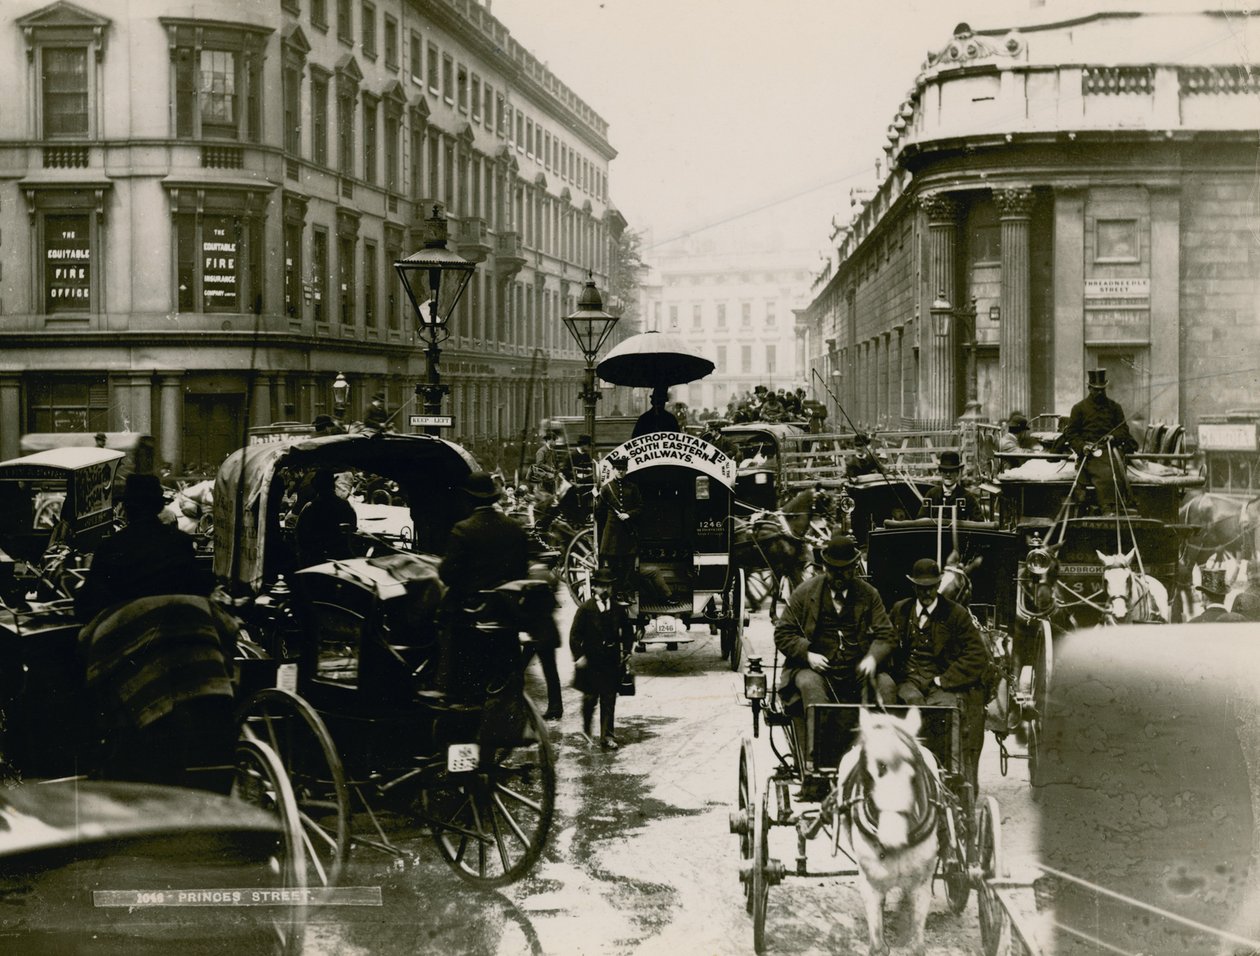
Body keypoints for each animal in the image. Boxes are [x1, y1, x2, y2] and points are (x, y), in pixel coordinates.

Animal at [730, 486, 826, 619]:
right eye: (824, 498)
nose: (835, 514)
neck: (786, 528)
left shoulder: (792, 566)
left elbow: (799, 585)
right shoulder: (778, 566)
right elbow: (776, 590)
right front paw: (774, 616)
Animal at [841, 710, 942, 956]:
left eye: (914, 773)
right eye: (869, 772)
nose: (892, 837)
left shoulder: (922, 886)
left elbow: (917, 944)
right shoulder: (870, 886)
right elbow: (877, 944)